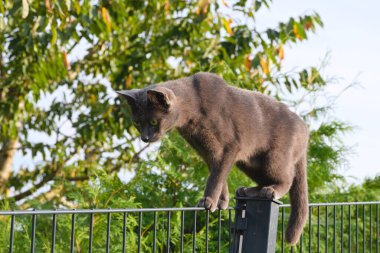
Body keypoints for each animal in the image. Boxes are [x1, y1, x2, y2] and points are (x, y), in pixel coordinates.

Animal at [117, 71, 310, 245]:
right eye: (137, 123)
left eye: (153, 122)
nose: (144, 138)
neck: (192, 114)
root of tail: (305, 130)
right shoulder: (207, 150)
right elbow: (218, 173)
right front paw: (221, 201)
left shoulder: (230, 146)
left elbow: (216, 176)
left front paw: (207, 201)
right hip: (250, 162)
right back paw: (249, 190)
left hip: (273, 157)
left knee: (288, 177)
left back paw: (271, 190)